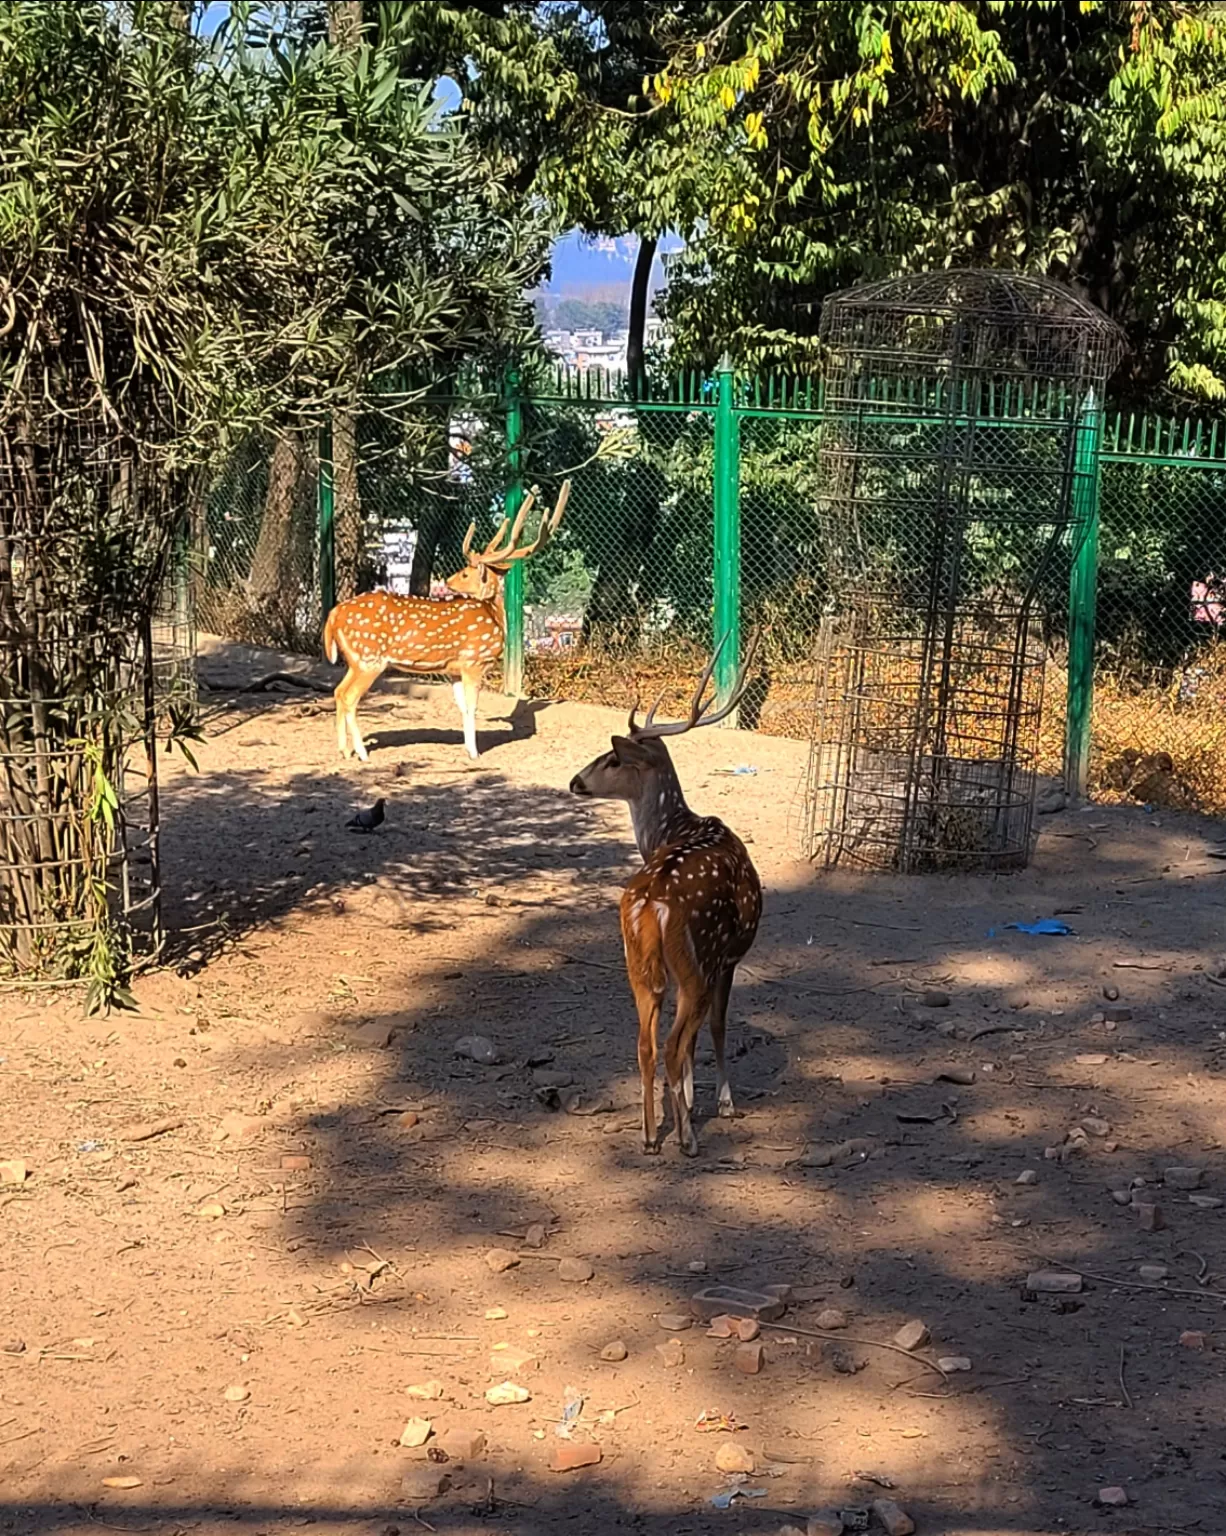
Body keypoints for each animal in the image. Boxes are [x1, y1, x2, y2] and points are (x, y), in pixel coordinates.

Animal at [325, 479, 577, 761]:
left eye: (465, 573)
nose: (447, 581)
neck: (496, 618)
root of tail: (333, 615)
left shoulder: (454, 669)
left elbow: (463, 707)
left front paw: (468, 748)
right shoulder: (474, 660)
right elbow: (473, 706)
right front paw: (475, 753)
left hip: (355, 661)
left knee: (338, 691)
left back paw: (344, 750)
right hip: (369, 659)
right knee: (349, 697)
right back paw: (362, 752)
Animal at [571, 632, 762, 1155]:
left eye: (612, 759)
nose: (575, 781)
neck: (676, 829)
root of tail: (653, 904)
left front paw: (690, 1104)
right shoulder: (728, 958)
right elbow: (716, 1028)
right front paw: (720, 1103)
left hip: (638, 964)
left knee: (644, 1044)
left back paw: (650, 1134)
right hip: (697, 958)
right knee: (674, 1044)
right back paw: (686, 1138)